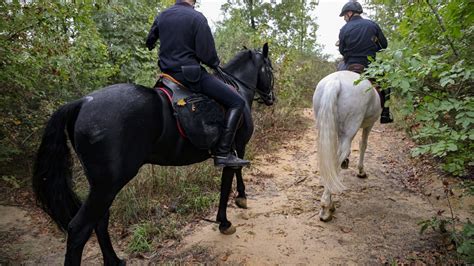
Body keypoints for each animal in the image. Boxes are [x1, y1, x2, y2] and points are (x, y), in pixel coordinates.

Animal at [32, 43, 274, 266]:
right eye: (270, 69)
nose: (271, 98)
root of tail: (82, 102)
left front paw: (238, 201)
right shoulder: (236, 147)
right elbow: (229, 180)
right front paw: (229, 215)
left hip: (102, 186)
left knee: (99, 221)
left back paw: (114, 260)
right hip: (107, 185)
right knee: (79, 229)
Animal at [312, 70, 384, 220]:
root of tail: (335, 81)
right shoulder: (369, 125)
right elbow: (363, 144)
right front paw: (361, 171)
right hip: (351, 127)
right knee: (338, 158)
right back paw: (327, 207)